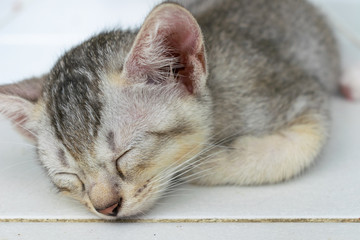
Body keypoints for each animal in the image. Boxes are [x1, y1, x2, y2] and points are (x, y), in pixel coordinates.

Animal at [0, 0, 342, 218]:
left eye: (125, 155)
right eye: (69, 175)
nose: (106, 208)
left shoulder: (300, 92)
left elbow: (294, 150)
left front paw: (206, 161)